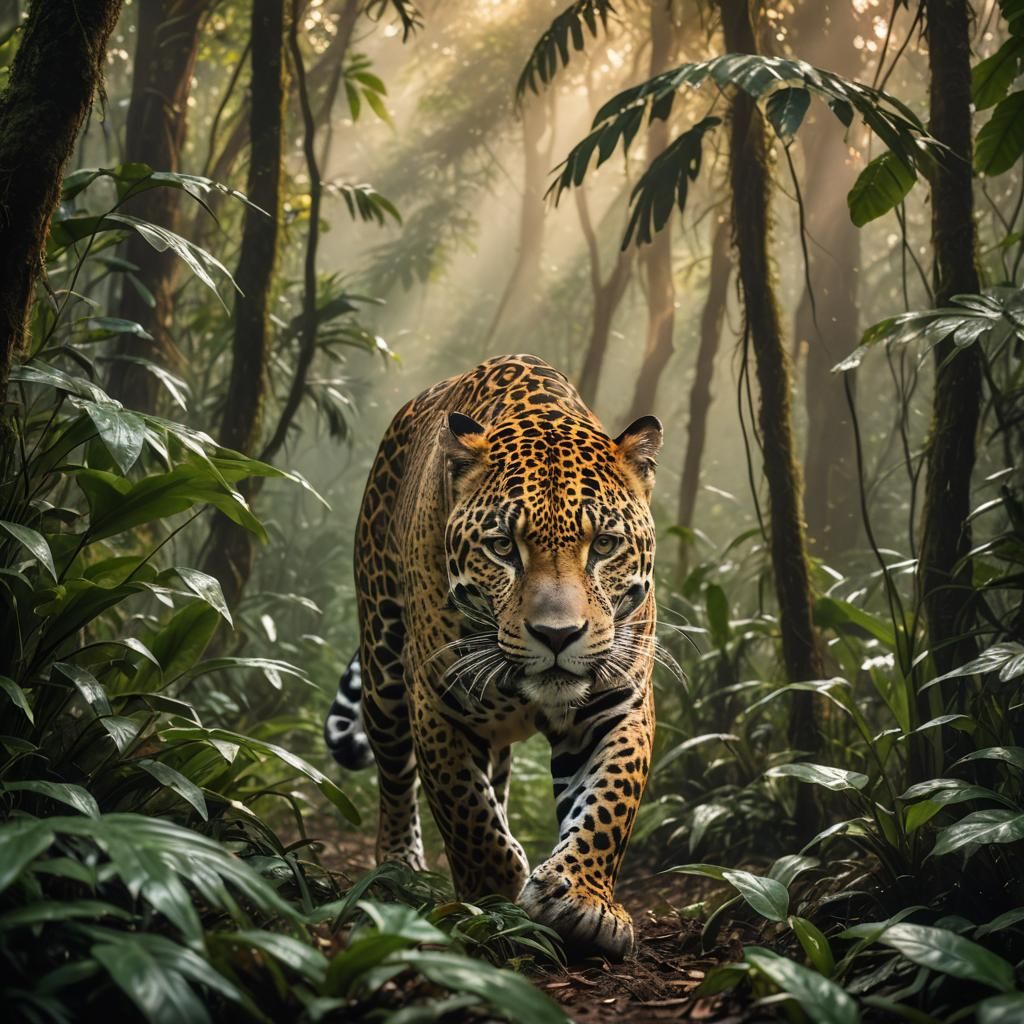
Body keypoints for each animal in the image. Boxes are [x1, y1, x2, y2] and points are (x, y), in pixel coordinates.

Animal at [324, 354, 663, 960]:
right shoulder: (437, 701)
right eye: (503, 547)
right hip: (384, 666)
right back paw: (399, 868)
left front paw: (584, 900)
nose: (558, 635)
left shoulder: (619, 702)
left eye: (604, 545)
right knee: (395, 775)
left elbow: (609, 802)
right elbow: (466, 811)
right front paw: (495, 894)